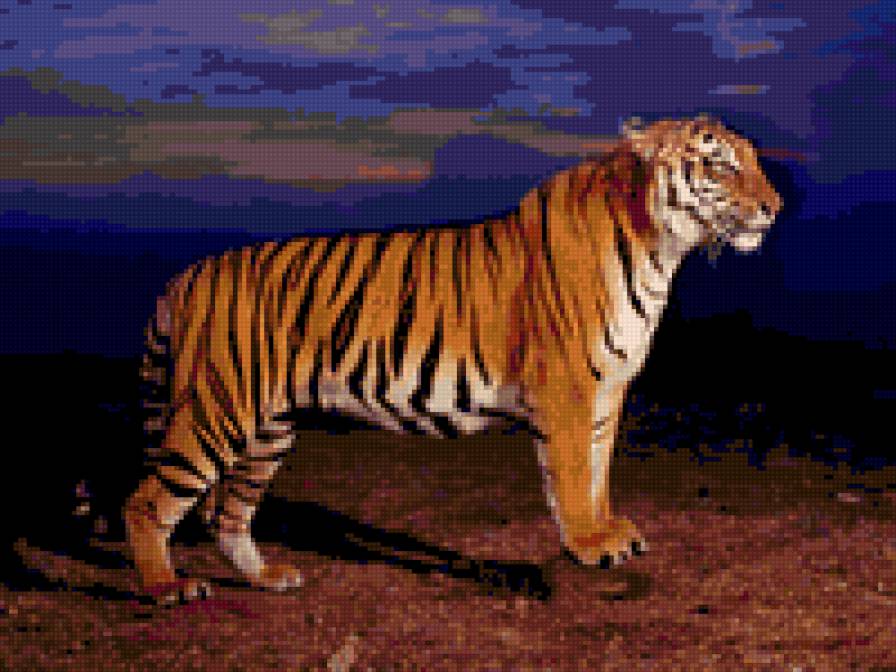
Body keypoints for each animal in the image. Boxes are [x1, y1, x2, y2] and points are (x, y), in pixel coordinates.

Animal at [124, 115, 781, 604]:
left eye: (756, 159)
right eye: (722, 163)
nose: (775, 207)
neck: (662, 249)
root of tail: (186, 275)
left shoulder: (609, 389)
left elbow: (598, 471)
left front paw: (607, 532)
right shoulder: (568, 386)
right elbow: (573, 474)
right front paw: (589, 546)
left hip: (268, 429)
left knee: (227, 515)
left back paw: (267, 578)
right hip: (217, 410)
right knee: (150, 501)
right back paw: (166, 587)